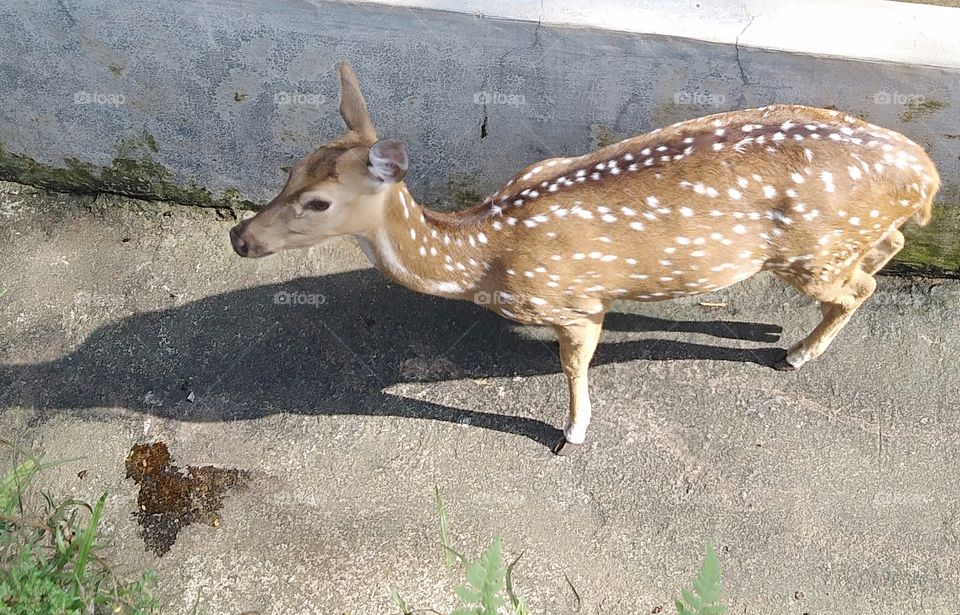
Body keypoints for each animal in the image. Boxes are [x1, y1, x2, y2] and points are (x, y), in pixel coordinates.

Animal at [229, 61, 940, 455]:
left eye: (318, 202)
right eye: (290, 169)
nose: (241, 237)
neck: (483, 260)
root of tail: (926, 174)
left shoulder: (573, 299)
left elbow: (575, 368)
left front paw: (571, 434)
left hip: (807, 250)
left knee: (858, 288)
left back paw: (794, 353)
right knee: (889, 248)